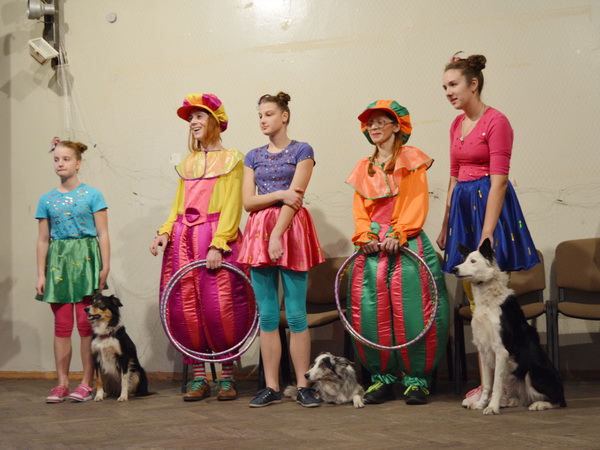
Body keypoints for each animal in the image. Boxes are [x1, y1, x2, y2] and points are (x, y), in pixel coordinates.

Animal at [452, 238, 566, 415]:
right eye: (463, 260)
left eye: (473, 261)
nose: (454, 269)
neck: (487, 301)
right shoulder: (483, 350)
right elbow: (487, 384)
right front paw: (481, 404)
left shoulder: (501, 350)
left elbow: (496, 385)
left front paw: (492, 407)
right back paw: (513, 401)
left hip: (532, 373)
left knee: (558, 400)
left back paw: (539, 404)